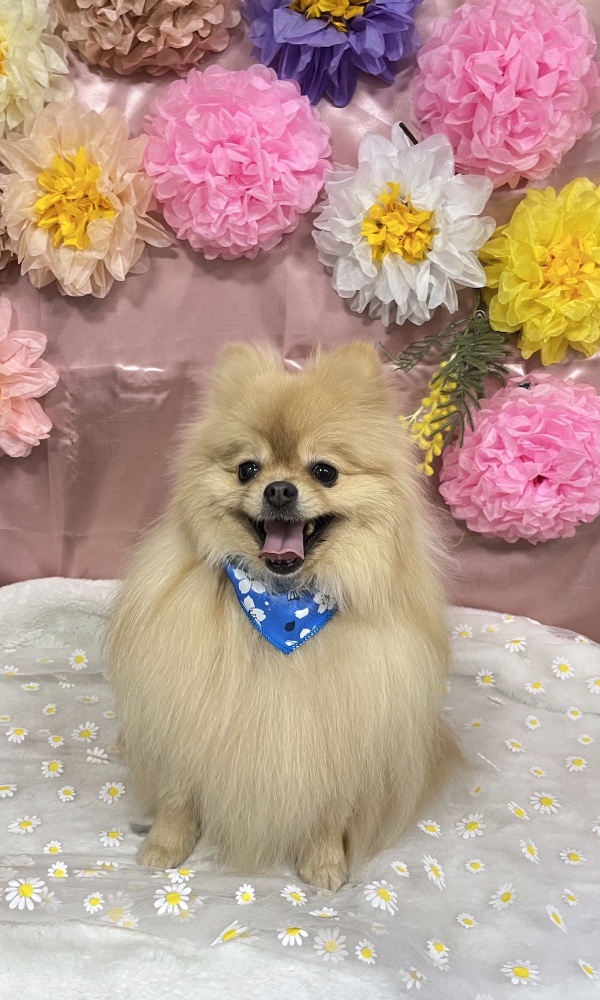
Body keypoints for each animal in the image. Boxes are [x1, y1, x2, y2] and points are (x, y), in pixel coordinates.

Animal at [107, 342, 459, 890]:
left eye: (325, 471)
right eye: (247, 469)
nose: (278, 489)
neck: (282, 608)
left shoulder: (346, 735)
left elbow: (331, 811)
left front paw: (325, 863)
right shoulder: (184, 710)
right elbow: (177, 795)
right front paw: (165, 847)